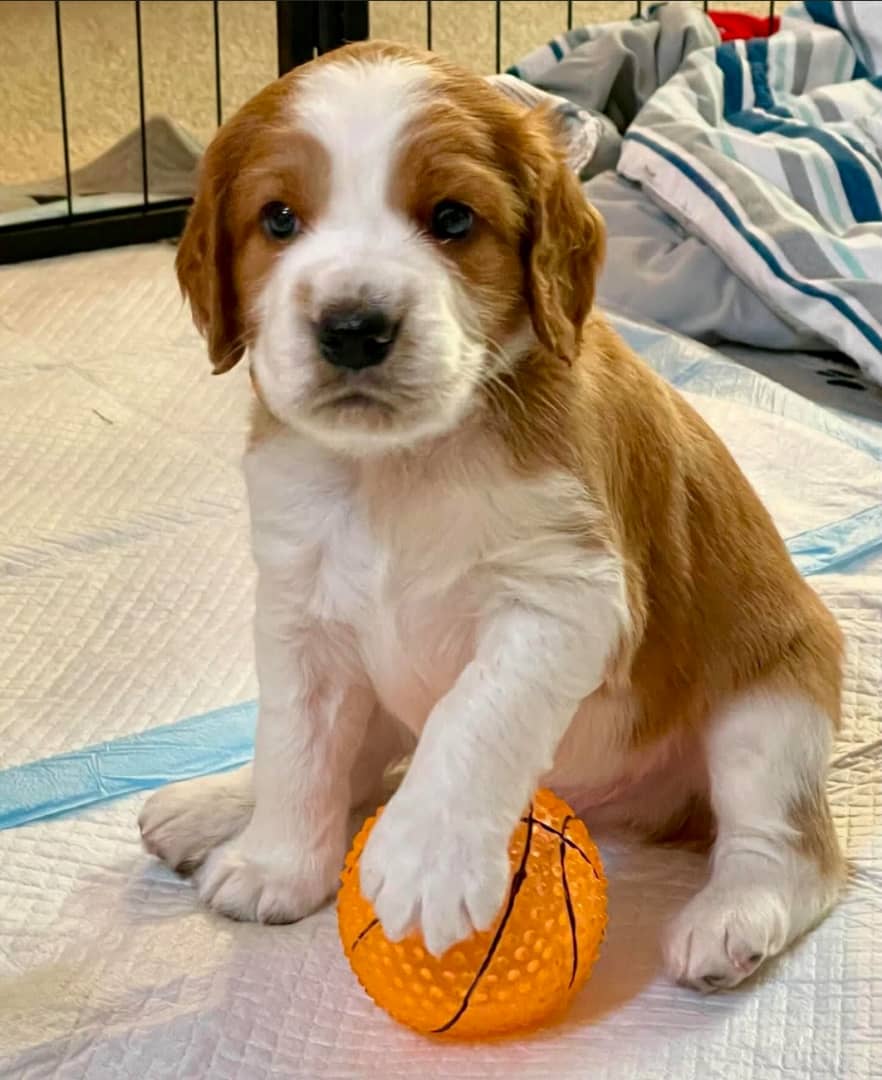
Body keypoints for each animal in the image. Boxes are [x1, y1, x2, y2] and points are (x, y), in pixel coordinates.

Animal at [141, 39, 842, 989]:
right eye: (278, 220)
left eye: (452, 218)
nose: (353, 327)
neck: (397, 467)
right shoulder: (298, 609)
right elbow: (296, 742)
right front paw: (277, 861)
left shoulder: (566, 595)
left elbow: (473, 714)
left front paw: (425, 861)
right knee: (363, 761)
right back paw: (215, 806)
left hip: (773, 709)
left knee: (788, 845)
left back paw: (735, 916)